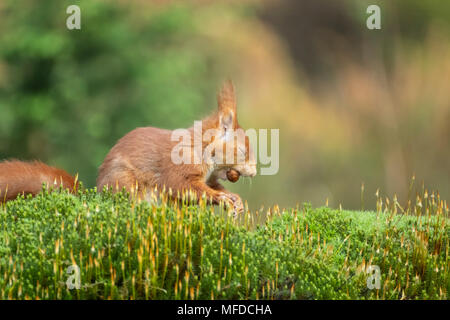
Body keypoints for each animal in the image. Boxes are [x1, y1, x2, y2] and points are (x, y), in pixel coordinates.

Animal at [96, 80, 255, 212]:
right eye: (242, 151)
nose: (253, 173)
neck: (202, 148)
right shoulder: (181, 164)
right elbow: (182, 185)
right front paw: (220, 197)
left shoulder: (209, 178)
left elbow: (213, 185)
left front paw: (235, 198)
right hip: (125, 182)